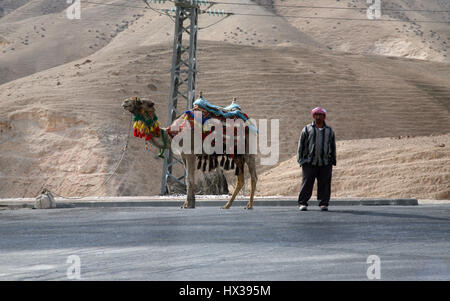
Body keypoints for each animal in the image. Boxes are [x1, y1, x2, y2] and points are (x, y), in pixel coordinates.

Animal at [121, 96, 258, 209]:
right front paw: (190, 204)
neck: (172, 133)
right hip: (236, 153)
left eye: (141, 102)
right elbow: (188, 177)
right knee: (241, 179)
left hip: (248, 149)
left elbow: (189, 178)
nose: (125, 102)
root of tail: (248, 120)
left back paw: (249, 205)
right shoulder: (183, 154)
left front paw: (187, 204)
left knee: (253, 176)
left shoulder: (190, 152)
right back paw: (227, 205)